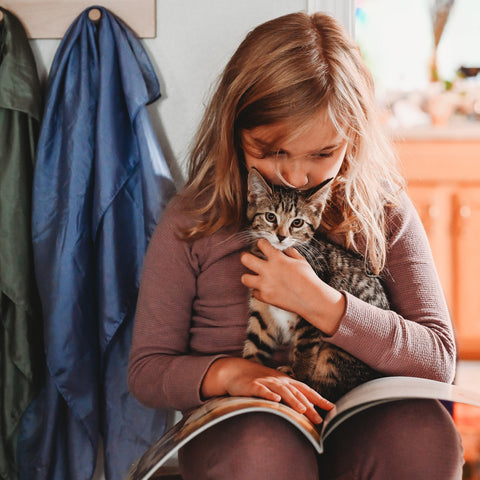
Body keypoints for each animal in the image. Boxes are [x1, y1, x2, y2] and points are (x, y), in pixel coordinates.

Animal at [242, 168, 388, 402]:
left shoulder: (310, 320)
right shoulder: (261, 312)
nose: (281, 236)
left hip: (335, 352)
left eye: (297, 223)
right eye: (270, 217)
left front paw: (298, 375)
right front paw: (249, 371)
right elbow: (255, 345)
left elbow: (305, 350)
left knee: (328, 388)